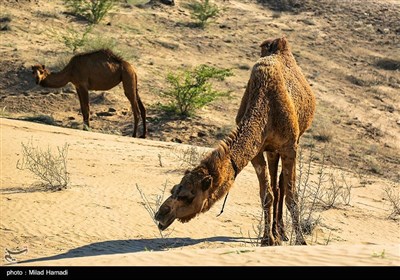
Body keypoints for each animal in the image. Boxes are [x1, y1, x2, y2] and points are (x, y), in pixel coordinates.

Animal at [155, 36, 316, 245]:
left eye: (187, 196)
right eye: (173, 188)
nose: (160, 214)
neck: (266, 106)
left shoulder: (290, 146)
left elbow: (291, 196)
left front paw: (301, 241)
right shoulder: (257, 151)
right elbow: (266, 195)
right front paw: (267, 239)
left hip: (293, 141)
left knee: (281, 184)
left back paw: (283, 232)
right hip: (272, 150)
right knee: (275, 185)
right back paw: (278, 232)